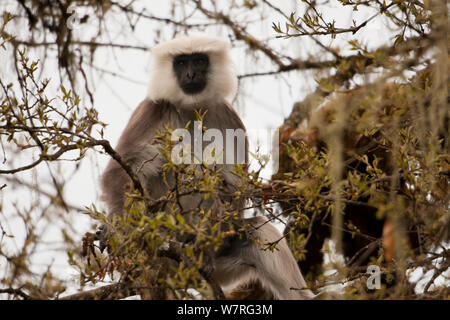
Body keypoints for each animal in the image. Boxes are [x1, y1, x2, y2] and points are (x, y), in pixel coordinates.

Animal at [100, 37, 314, 300]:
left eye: (200, 60)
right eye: (182, 63)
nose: (191, 74)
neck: (192, 108)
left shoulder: (226, 115)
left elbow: (232, 188)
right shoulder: (153, 110)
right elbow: (120, 172)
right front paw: (120, 232)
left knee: (258, 229)